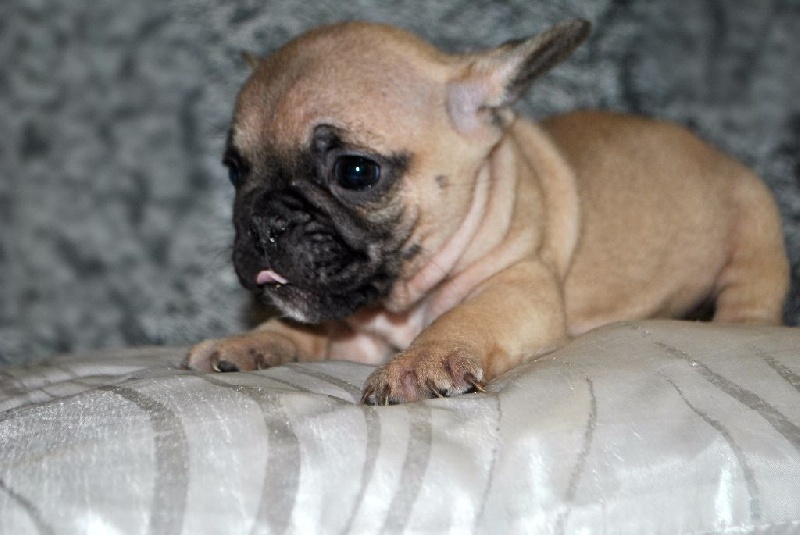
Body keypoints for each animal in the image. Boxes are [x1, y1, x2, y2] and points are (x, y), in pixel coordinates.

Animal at [183, 19, 790, 405]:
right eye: (235, 171)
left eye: (356, 172)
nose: (263, 223)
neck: (398, 306)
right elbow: (299, 326)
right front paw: (249, 341)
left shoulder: (520, 285)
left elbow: (467, 315)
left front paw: (419, 363)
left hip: (754, 230)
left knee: (752, 303)